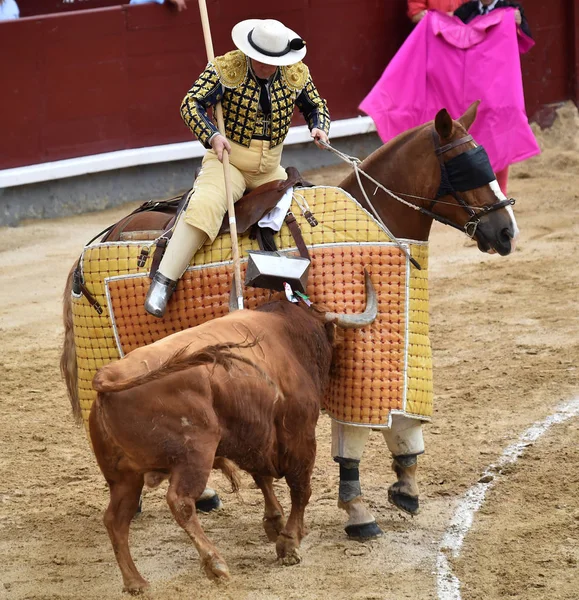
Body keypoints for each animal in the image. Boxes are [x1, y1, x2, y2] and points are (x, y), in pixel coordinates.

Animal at [85, 274, 376, 596]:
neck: (288, 336)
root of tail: (109, 377)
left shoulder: (253, 438)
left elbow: (263, 479)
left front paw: (276, 523)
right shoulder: (299, 435)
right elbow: (300, 488)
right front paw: (289, 542)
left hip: (124, 477)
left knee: (115, 520)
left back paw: (135, 581)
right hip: (194, 456)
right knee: (180, 502)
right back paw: (215, 564)